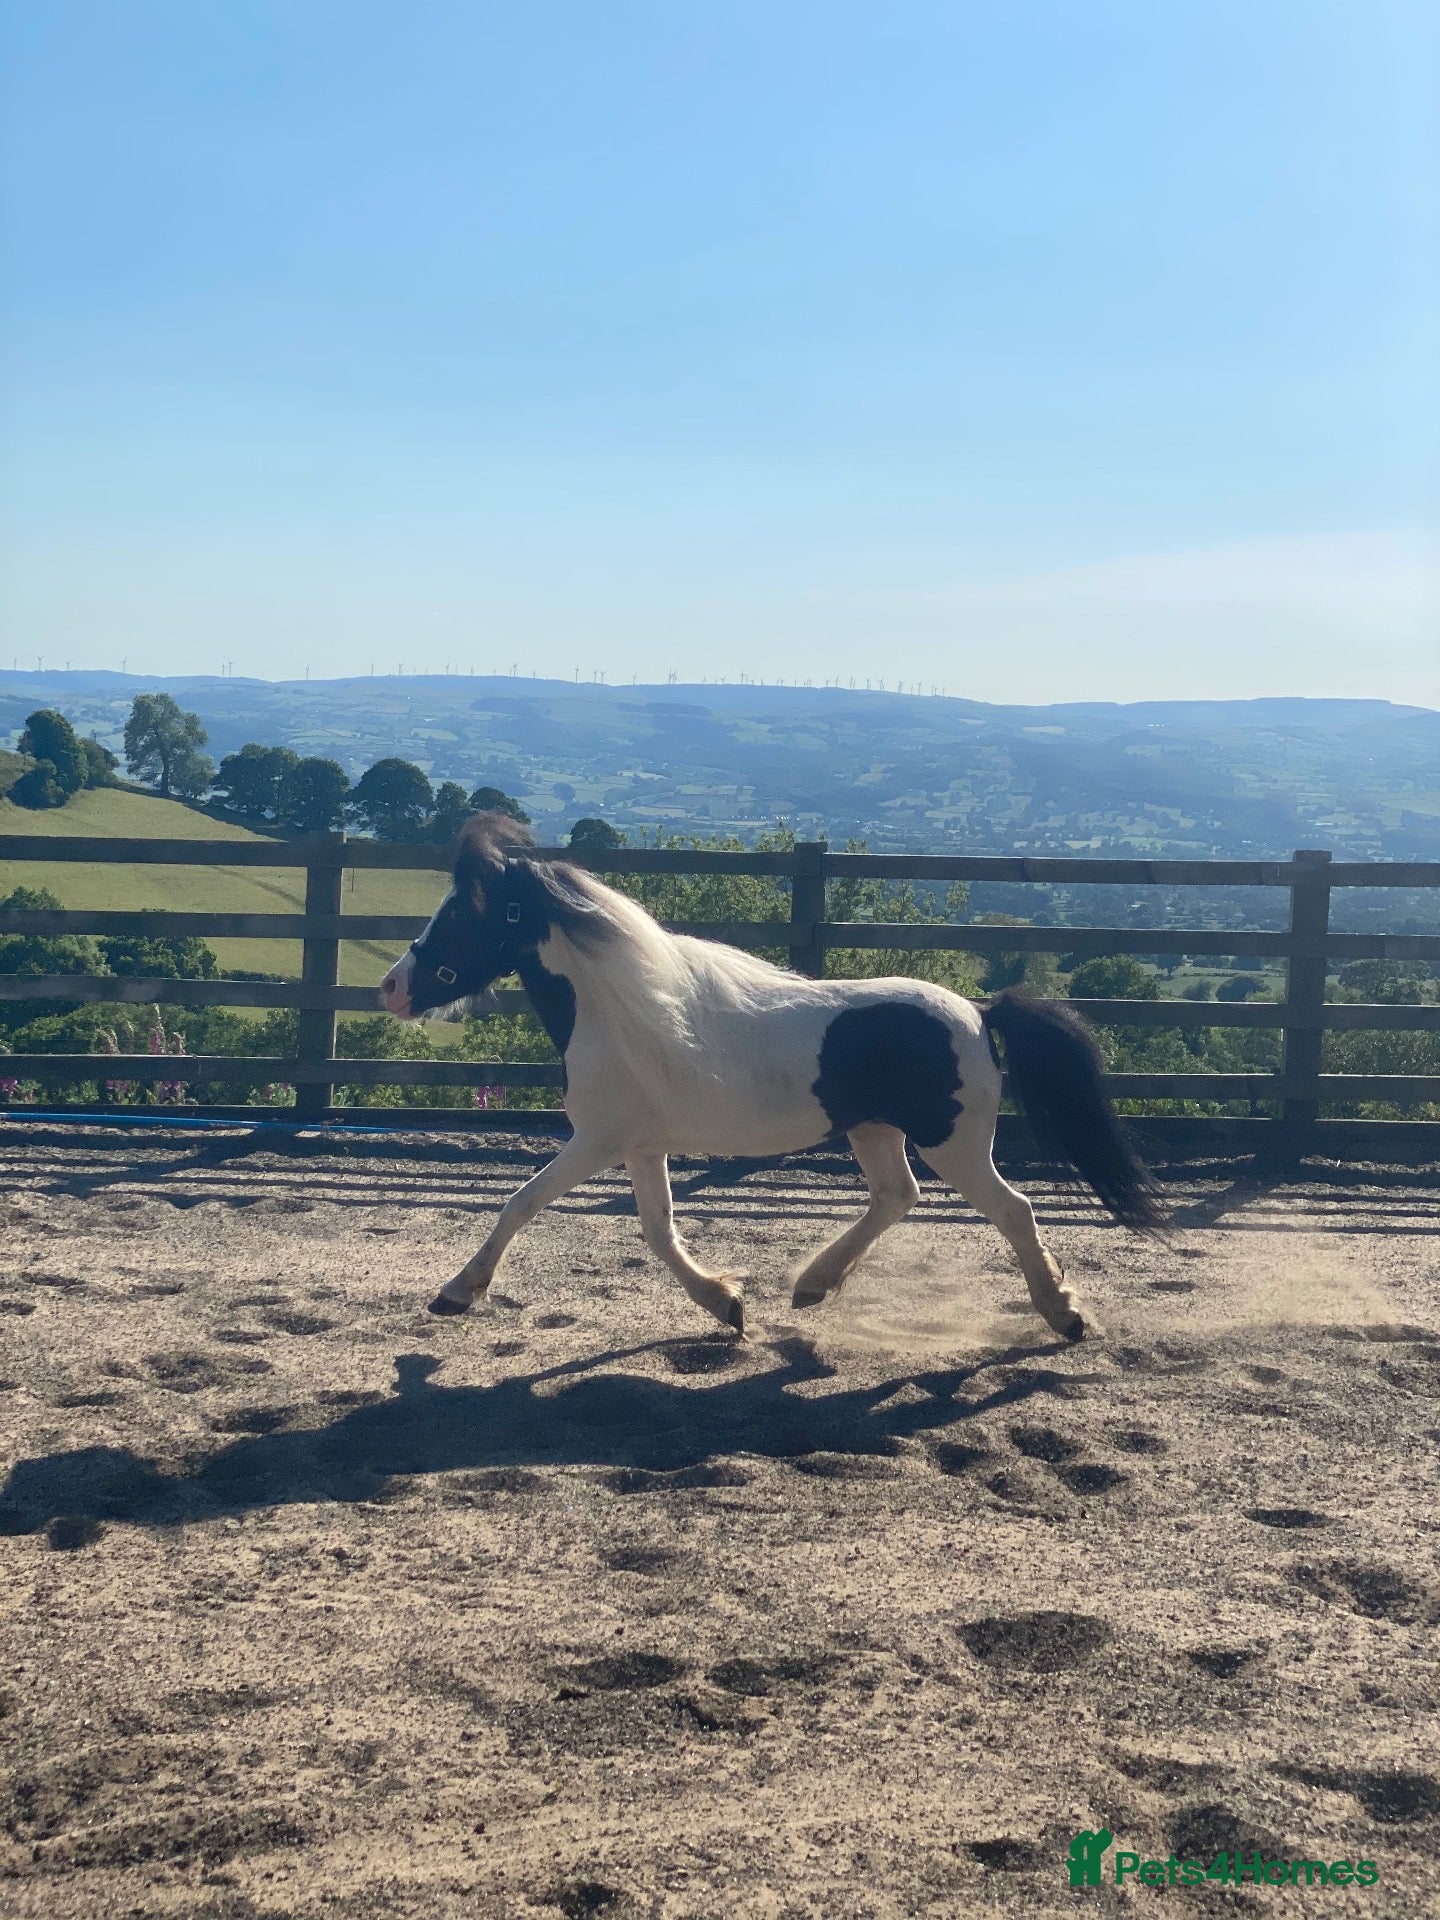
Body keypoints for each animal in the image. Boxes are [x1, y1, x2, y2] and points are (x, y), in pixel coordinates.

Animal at [378, 813, 1166, 1340]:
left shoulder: (597, 1142)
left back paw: (1063, 1315)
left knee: (1013, 1210)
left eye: (461, 915)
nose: (391, 987)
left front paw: (455, 1292)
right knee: (897, 1196)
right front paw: (726, 1304)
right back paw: (814, 1285)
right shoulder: (640, 1146)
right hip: (875, 1131)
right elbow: (658, 1231)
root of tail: (976, 1012)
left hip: (956, 1143)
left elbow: (519, 1205)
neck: (614, 1013)